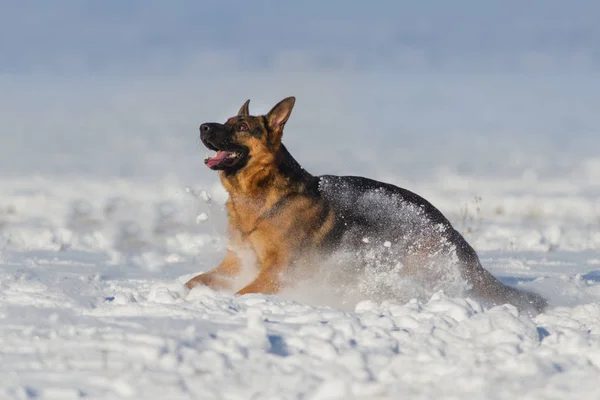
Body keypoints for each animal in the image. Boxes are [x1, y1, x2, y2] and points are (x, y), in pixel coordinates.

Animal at [188, 96, 548, 312]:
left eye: (241, 126)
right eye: (226, 121)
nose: (202, 126)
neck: (258, 196)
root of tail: (450, 229)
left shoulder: (277, 272)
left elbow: (242, 292)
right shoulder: (235, 264)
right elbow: (194, 281)